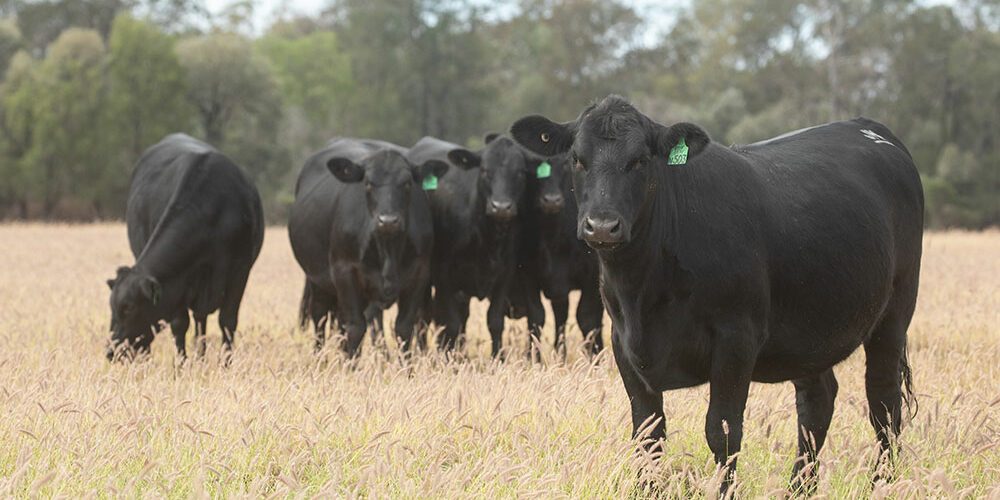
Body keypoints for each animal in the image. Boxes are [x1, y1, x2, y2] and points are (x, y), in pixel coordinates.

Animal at [105, 135, 264, 362]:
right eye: (113, 308)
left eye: (129, 308)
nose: (112, 351)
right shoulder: (178, 282)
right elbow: (180, 325)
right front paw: (181, 364)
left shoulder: (240, 272)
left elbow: (227, 321)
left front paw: (225, 364)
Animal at [290, 137, 446, 356]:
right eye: (368, 183)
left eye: (407, 183)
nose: (388, 221)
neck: (388, 248)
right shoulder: (345, 272)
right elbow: (356, 328)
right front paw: (349, 364)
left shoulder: (419, 275)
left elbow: (404, 328)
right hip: (316, 279)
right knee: (320, 317)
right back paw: (320, 358)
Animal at [404, 136, 540, 356]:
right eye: (484, 171)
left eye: (520, 172)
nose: (501, 207)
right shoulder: (443, 276)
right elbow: (450, 324)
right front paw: (449, 359)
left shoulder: (504, 274)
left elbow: (494, 321)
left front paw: (497, 358)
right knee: (424, 318)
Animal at [512, 96, 924, 492]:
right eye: (577, 159)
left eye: (640, 160)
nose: (601, 226)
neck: (643, 290)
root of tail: (868, 127)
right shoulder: (622, 343)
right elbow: (648, 434)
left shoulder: (736, 337)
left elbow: (722, 432)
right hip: (811, 331)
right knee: (817, 402)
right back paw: (800, 488)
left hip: (894, 315)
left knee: (884, 404)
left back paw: (882, 483)